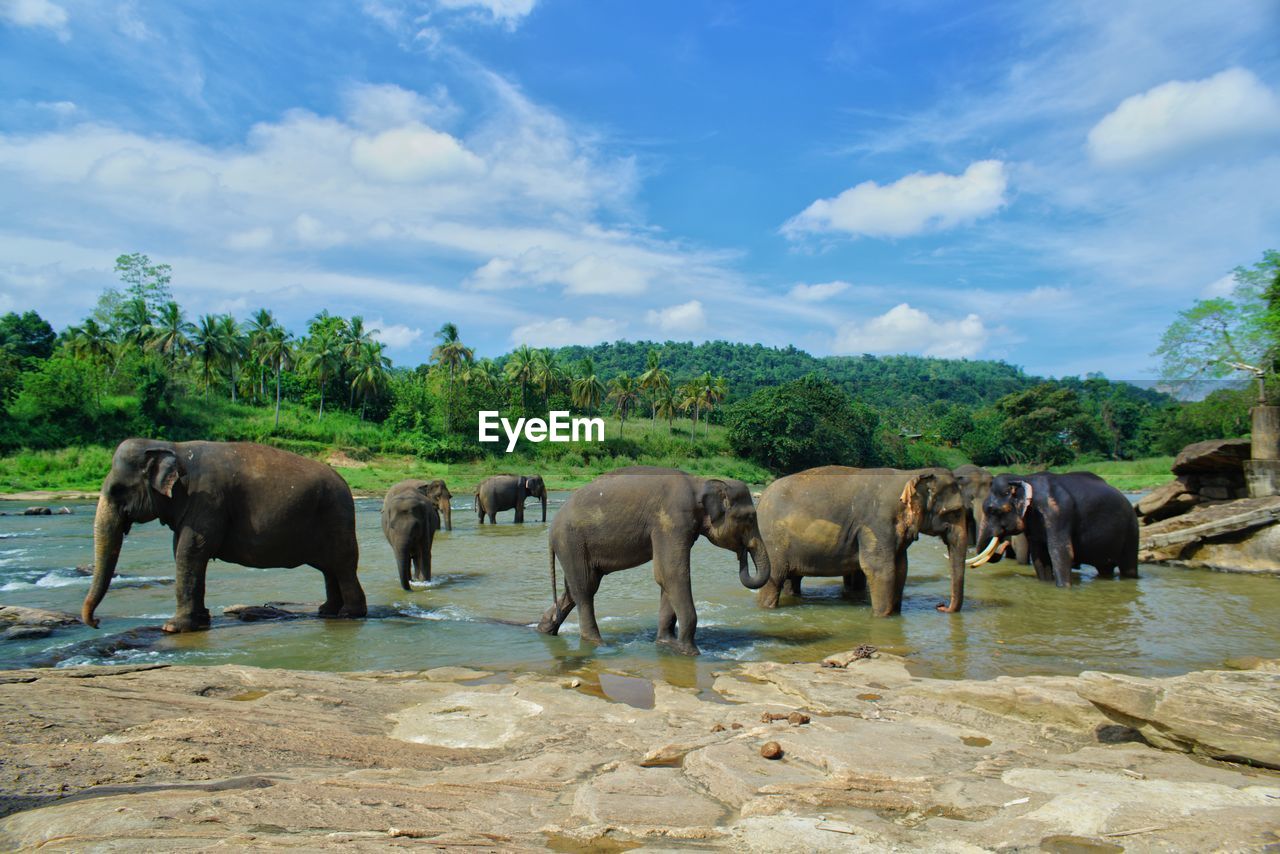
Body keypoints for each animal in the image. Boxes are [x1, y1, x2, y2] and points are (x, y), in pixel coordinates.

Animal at [81, 440, 366, 635]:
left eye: (117, 490)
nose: (96, 623)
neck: (171, 447)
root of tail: (345, 482)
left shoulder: (208, 500)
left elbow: (191, 550)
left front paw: (172, 628)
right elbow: (182, 551)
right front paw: (200, 621)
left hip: (337, 517)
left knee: (342, 566)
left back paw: (348, 615)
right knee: (329, 569)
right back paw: (327, 611)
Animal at [532, 468, 768, 655]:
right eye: (749, 518)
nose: (742, 554)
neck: (700, 482)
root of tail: (551, 530)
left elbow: (666, 578)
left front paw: (666, 643)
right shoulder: (672, 520)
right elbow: (672, 573)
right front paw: (690, 651)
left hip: (574, 548)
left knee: (576, 588)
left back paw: (545, 630)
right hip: (571, 543)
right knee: (584, 590)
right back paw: (597, 643)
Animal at [752, 463, 962, 617]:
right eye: (955, 512)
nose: (941, 606)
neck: (910, 474)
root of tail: (761, 500)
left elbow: (902, 568)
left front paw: (895, 615)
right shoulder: (876, 523)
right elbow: (880, 570)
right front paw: (882, 617)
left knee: (792, 578)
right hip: (772, 541)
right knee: (775, 579)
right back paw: (766, 608)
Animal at [967, 468, 1141, 588]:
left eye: (992, 510)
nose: (1004, 543)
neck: (1024, 478)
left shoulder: (1058, 513)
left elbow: (1060, 552)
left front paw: (1063, 588)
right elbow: (1039, 555)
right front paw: (1046, 584)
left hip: (1131, 531)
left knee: (1128, 568)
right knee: (1105, 568)